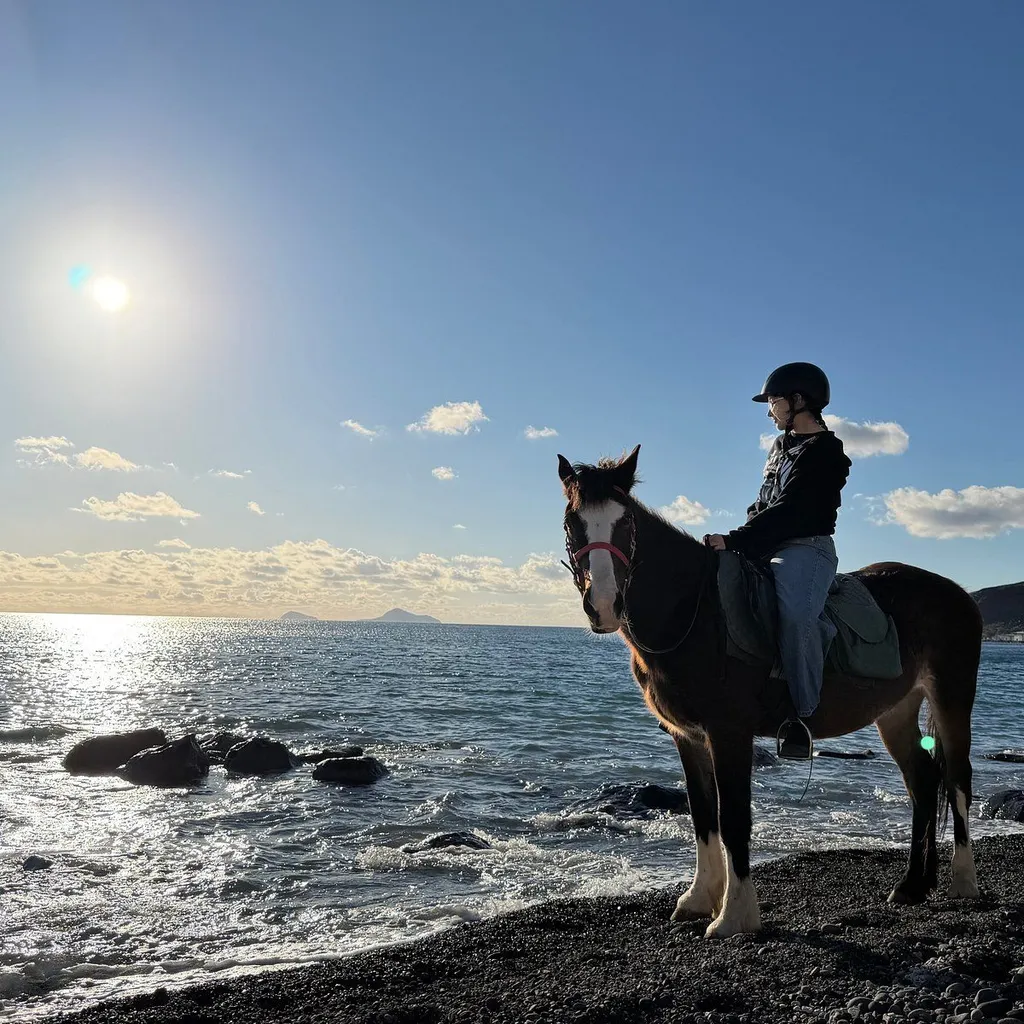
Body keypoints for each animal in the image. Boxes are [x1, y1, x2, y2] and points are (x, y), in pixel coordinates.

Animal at [558, 444, 982, 938]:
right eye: (572, 522)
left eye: (625, 523)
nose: (605, 605)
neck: (695, 610)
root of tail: (957, 593)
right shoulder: (687, 737)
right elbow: (703, 815)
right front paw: (699, 899)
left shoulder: (729, 732)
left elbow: (733, 818)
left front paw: (734, 916)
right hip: (895, 711)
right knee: (924, 782)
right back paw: (913, 885)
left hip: (952, 696)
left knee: (958, 779)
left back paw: (963, 880)